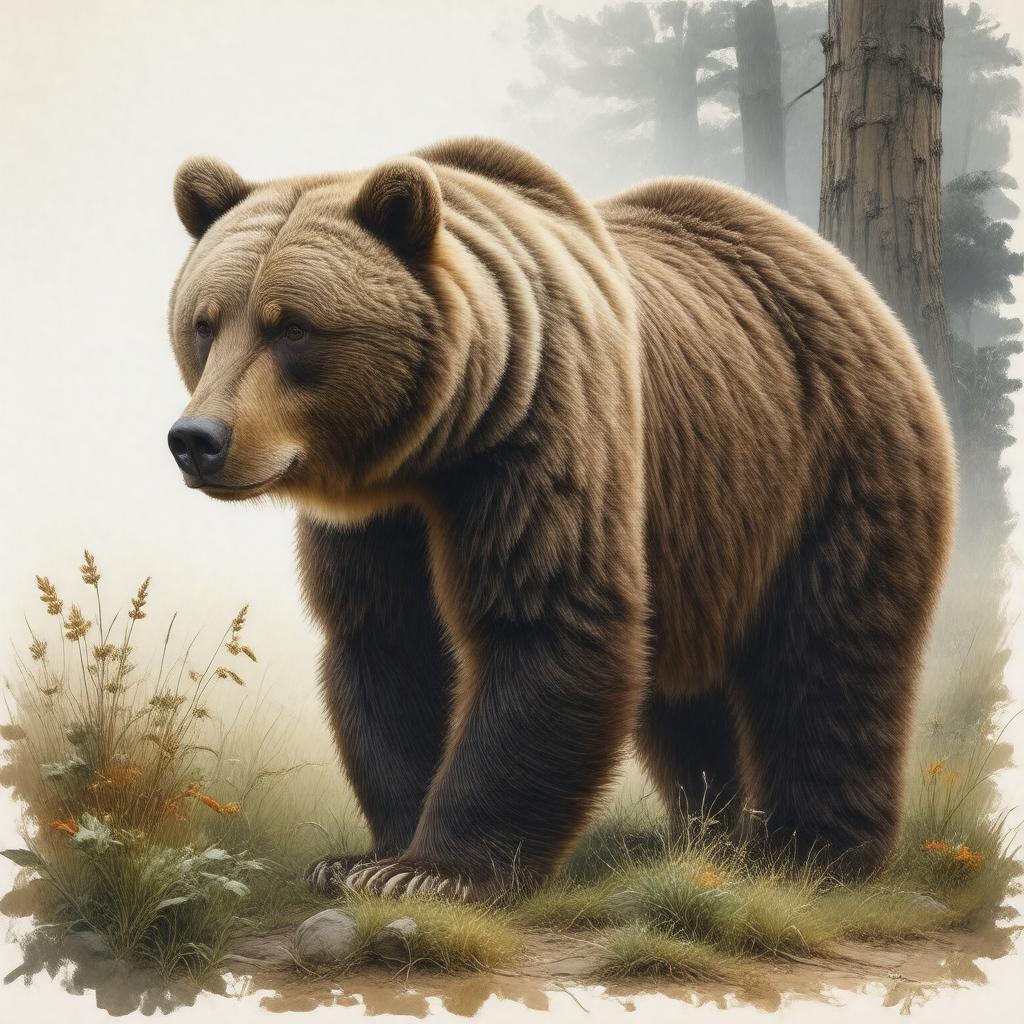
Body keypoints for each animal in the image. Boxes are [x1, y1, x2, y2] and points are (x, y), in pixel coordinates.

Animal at [166, 137, 956, 900]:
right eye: (204, 323)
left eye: (294, 328)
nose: (198, 439)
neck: (436, 449)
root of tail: (841, 270)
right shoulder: (377, 524)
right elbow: (388, 645)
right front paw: (364, 856)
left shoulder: (542, 433)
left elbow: (546, 619)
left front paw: (434, 870)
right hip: (702, 530)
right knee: (685, 698)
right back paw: (711, 835)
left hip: (830, 469)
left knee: (830, 659)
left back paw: (813, 852)